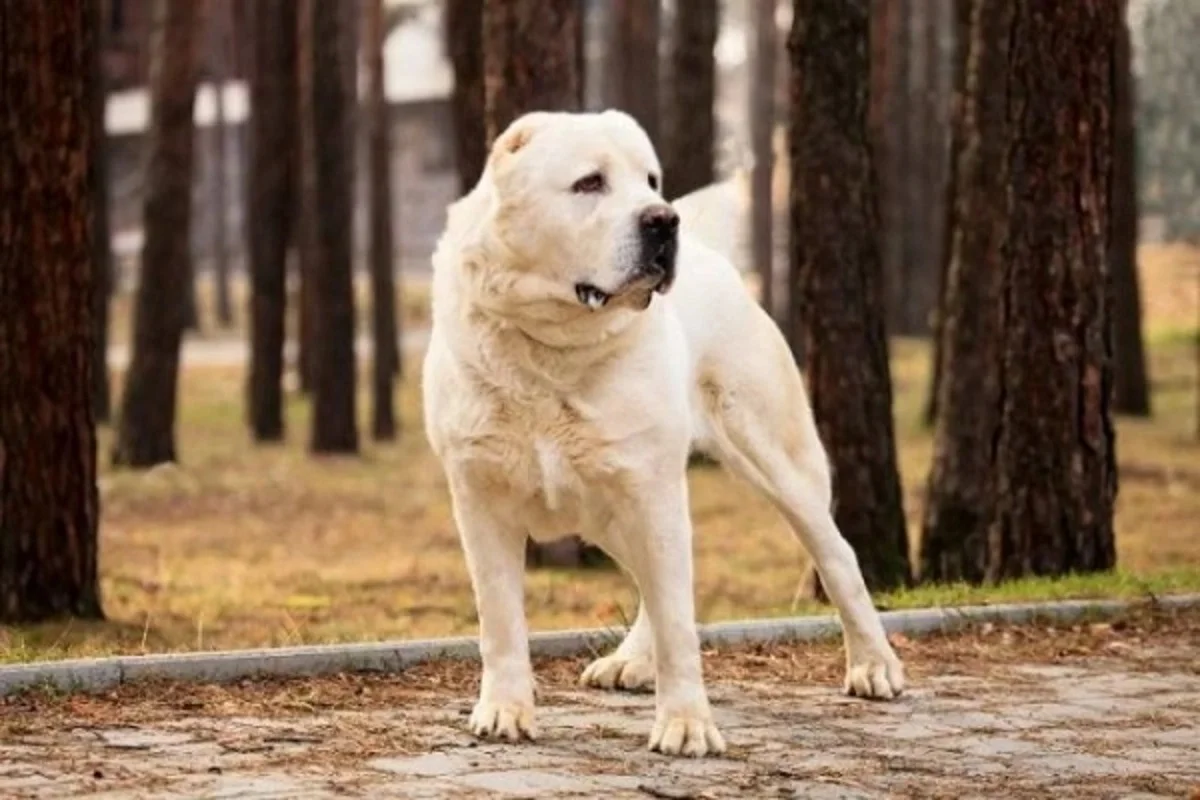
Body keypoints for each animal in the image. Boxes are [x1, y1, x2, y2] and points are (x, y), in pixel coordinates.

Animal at [422, 110, 902, 758]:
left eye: (650, 179)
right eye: (590, 183)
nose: (662, 218)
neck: (553, 350)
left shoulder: (651, 490)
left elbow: (678, 620)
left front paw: (686, 724)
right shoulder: (481, 498)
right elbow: (499, 618)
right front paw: (504, 710)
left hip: (772, 460)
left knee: (836, 555)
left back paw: (875, 665)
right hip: (610, 510)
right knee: (651, 583)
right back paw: (629, 662)